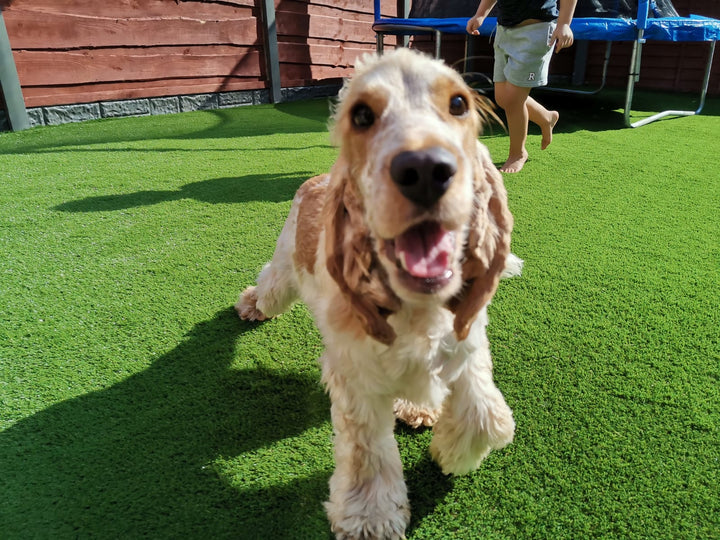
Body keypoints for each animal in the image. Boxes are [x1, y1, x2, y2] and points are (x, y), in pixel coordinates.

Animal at [239, 47, 520, 540]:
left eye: (459, 103)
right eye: (362, 115)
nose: (425, 169)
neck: (416, 308)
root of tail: (315, 178)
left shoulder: (466, 341)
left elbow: (488, 417)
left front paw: (451, 454)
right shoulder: (356, 379)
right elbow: (367, 452)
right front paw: (370, 516)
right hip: (285, 266)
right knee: (269, 285)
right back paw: (249, 305)